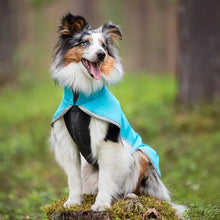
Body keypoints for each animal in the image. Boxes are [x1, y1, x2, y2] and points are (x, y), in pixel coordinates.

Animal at [49, 12, 186, 217]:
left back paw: (129, 196)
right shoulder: (68, 143)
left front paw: (101, 204)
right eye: (85, 43)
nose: (101, 54)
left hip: (141, 155)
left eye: (104, 46)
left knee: (136, 188)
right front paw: (73, 202)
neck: (78, 100)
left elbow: (106, 177)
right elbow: (73, 177)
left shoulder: (109, 142)